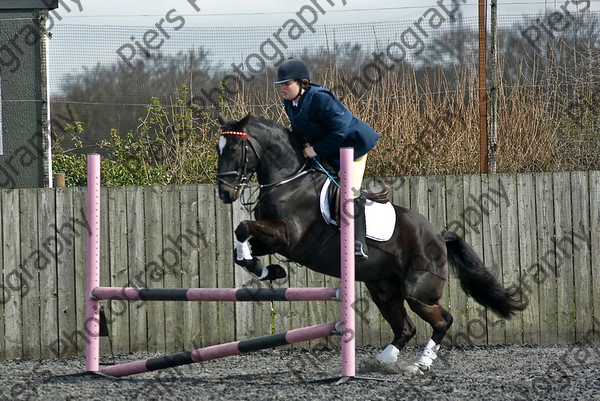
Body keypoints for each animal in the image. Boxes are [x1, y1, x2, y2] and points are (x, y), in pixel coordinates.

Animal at [216, 112, 524, 372]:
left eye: (233, 149)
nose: (224, 194)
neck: (288, 181)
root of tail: (438, 236)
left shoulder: (288, 236)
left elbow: (242, 228)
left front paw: (265, 269)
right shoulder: (273, 241)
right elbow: (241, 244)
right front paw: (267, 270)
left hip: (418, 290)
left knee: (442, 320)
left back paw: (420, 364)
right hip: (383, 290)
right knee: (405, 328)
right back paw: (384, 359)